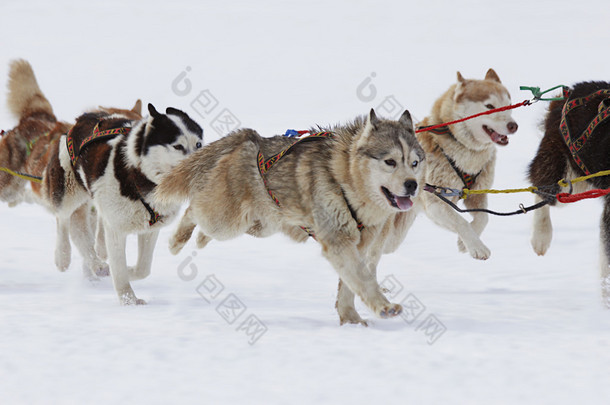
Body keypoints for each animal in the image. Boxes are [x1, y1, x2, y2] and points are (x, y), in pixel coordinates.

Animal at [154, 109, 426, 324]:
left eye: (414, 163)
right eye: (390, 161)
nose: (412, 185)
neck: (345, 179)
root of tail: (250, 138)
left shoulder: (358, 245)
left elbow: (350, 286)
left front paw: (350, 319)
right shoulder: (338, 241)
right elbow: (363, 280)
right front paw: (384, 306)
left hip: (260, 224)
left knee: (206, 228)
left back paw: (199, 240)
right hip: (226, 221)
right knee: (192, 210)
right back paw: (177, 240)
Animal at [414, 69, 516, 258]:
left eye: (509, 105)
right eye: (489, 106)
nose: (514, 126)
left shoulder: (477, 194)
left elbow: (483, 218)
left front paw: (464, 243)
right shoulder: (435, 202)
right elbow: (461, 221)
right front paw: (476, 246)